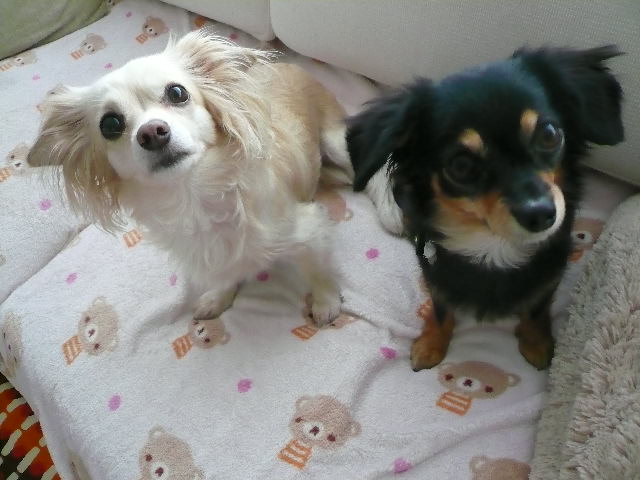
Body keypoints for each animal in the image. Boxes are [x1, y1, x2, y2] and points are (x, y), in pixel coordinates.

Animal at [27, 32, 352, 326]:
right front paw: (219, 297)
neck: (193, 194)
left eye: (177, 93)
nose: (152, 132)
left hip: (338, 144)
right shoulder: (215, 255)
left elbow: (316, 268)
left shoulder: (309, 229)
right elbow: (226, 273)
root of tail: (296, 67)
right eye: (110, 124)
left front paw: (326, 301)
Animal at [346, 46, 624, 370]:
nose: (541, 214)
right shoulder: (434, 270)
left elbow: (537, 306)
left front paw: (537, 342)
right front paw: (431, 343)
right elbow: (441, 307)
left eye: (549, 135)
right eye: (461, 166)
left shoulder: (551, 269)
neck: (493, 244)